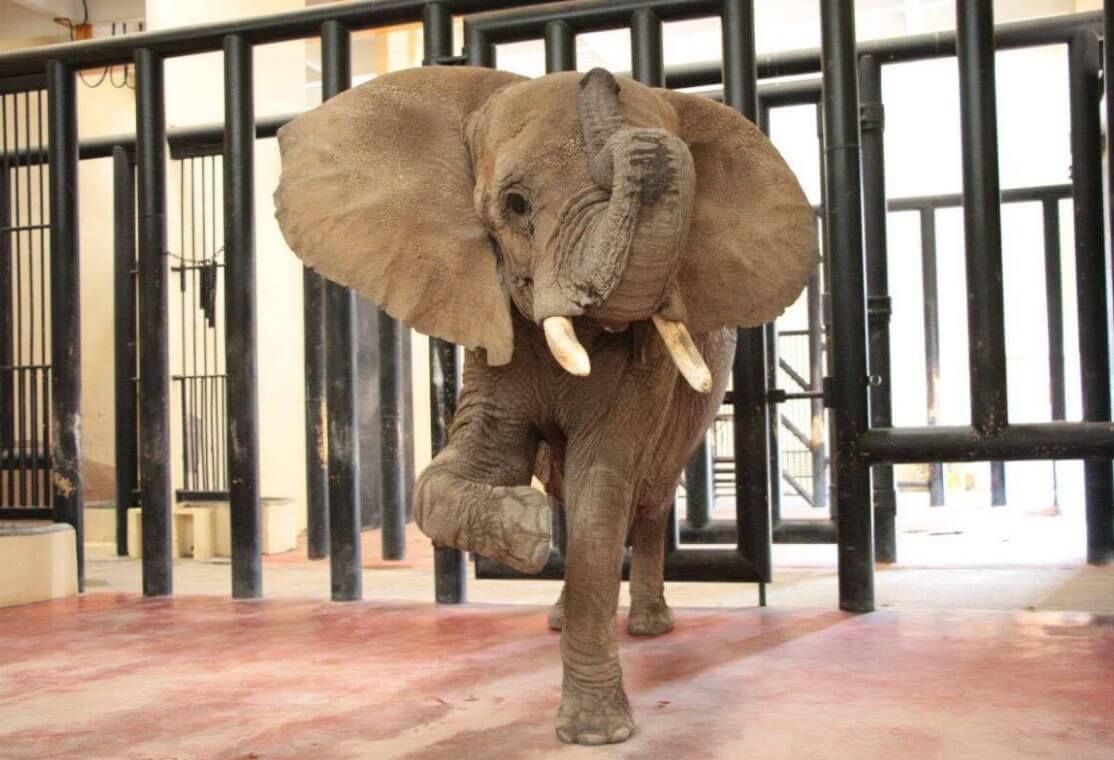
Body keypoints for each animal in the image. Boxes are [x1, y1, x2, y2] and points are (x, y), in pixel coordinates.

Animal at [274, 65, 816, 745]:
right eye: (516, 206)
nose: (601, 77)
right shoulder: (491, 329)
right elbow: (465, 469)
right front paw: (523, 528)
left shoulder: (644, 376)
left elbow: (601, 491)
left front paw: (595, 733)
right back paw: (557, 604)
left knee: (646, 499)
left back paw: (648, 627)